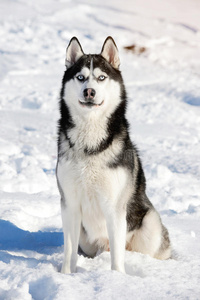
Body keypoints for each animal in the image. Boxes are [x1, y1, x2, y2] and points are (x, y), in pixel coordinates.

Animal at [55, 36, 170, 274]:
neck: (90, 144)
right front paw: (66, 275)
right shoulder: (69, 204)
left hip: (150, 223)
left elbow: (118, 257)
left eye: (101, 77)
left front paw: (117, 278)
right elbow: (69, 250)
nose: (89, 91)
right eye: (80, 77)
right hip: (86, 240)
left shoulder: (114, 206)